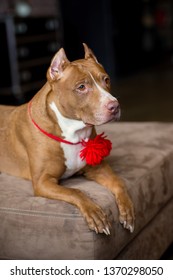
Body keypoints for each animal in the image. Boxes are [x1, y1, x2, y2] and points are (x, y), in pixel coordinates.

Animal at [0, 43, 134, 235]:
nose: (114, 106)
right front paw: (94, 213)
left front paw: (127, 210)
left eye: (106, 80)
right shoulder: (43, 182)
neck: (73, 132)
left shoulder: (99, 168)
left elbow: (119, 182)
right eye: (81, 87)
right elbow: (75, 191)